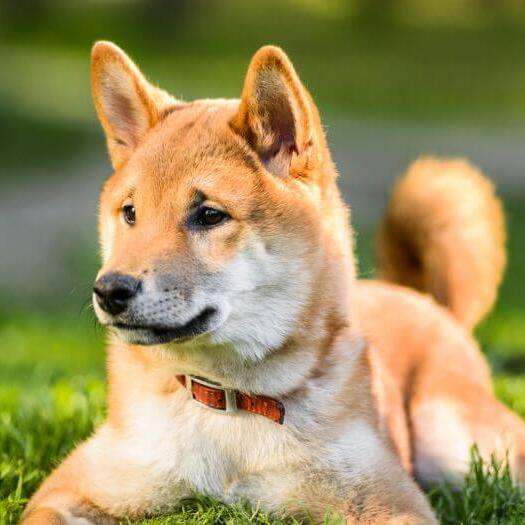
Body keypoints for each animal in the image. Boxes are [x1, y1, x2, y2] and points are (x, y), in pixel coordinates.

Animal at [22, 42, 524, 524]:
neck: (229, 401)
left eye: (209, 215)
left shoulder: (391, 502)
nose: (109, 290)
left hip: (453, 442)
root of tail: (421, 298)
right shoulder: (73, 488)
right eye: (130, 213)